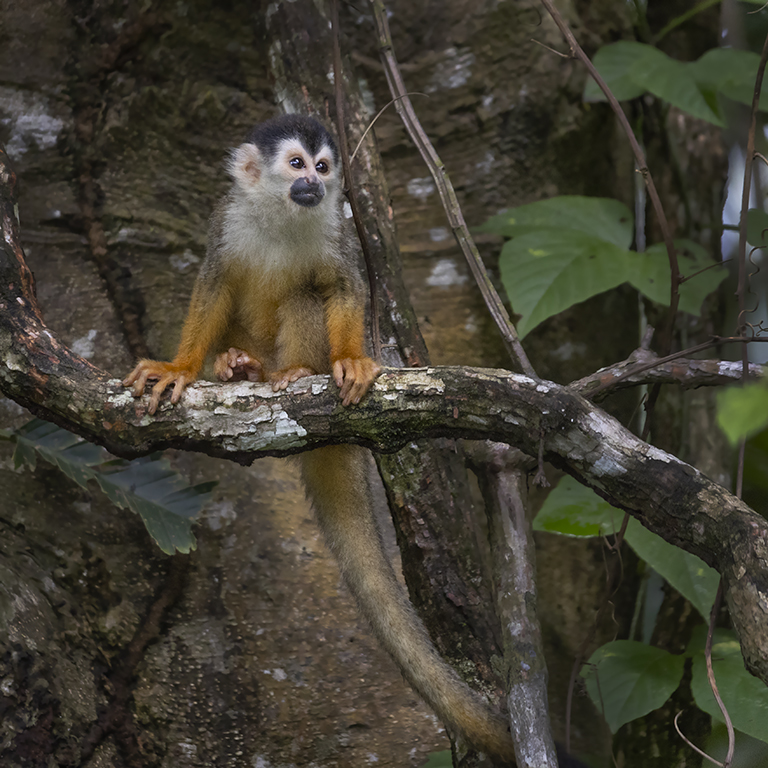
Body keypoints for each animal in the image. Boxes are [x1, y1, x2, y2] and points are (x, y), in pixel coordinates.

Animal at [121, 114, 516, 760]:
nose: (314, 184)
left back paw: (293, 373)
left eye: (324, 167)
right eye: (297, 164)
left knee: (310, 295)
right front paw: (180, 368)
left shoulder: (340, 228)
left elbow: (344, 288)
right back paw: (236, 367)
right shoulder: (226, 218)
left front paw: (352, 359)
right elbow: (212, 283)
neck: (285, 214)